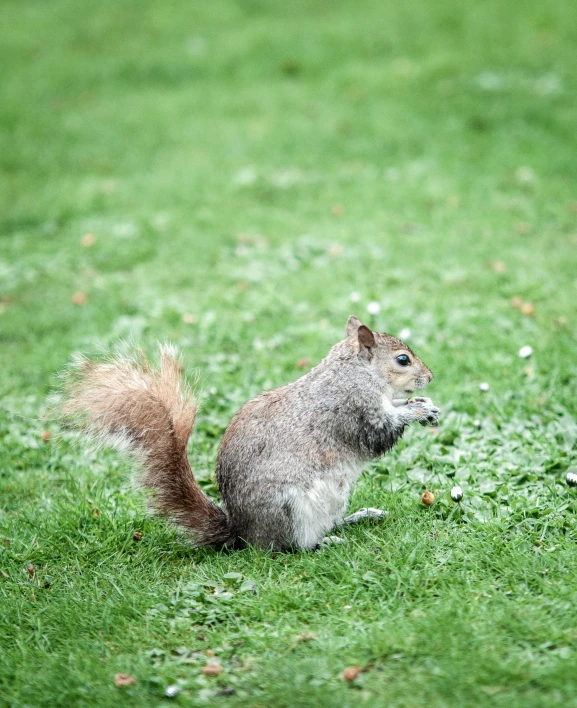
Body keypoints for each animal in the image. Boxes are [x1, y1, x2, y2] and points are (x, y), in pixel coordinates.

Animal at [58, 316, 438, 552]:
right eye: (403, 360)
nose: (431, 377)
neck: (355, 372)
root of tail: (242, 533)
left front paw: (422, 403)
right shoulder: (354, 410)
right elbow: (378, 434)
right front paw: (415, 410)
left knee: (331, 523)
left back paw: (360, 517)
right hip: (291, 509)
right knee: (290, 547)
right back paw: (324, 542)